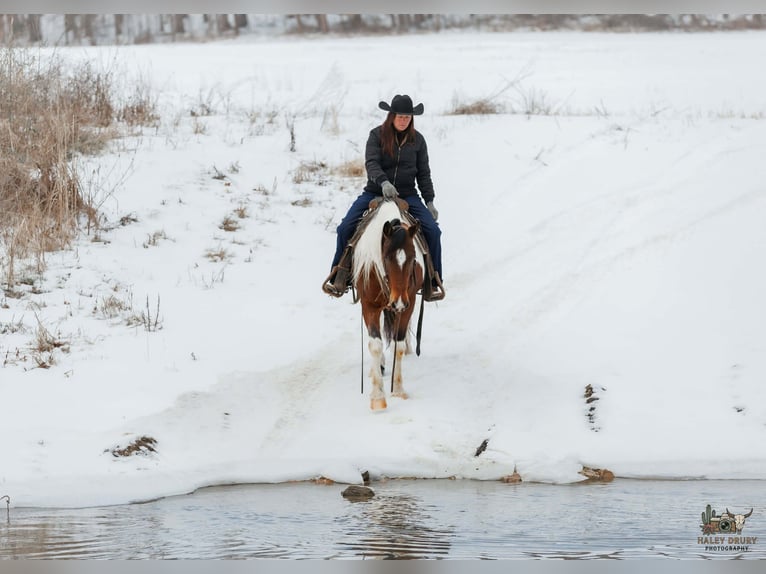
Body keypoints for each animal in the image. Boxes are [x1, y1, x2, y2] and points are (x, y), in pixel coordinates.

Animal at [353, 199, 425, 410]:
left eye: (412, 258)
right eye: (386, 258)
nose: (397, 301)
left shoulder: (409, 303)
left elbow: (397, 345)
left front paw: (398, 389)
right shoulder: (369, 305)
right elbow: (375, 345)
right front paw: (377, 397)